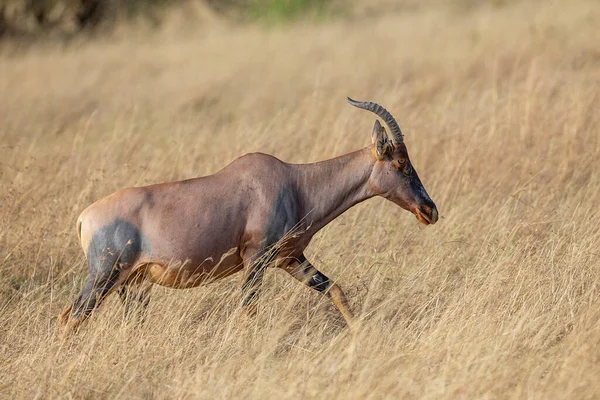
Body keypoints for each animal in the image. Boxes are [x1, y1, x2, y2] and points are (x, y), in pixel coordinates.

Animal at [58, 97, 438, 334]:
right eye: (401, 164)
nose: (429, 210)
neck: (294, 181)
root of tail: (84, 218)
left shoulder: (290, 259)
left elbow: (336, 290)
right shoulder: (256, 259)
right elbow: (246, 312)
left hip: (132, 284)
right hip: (104, 276)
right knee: (70, 317)